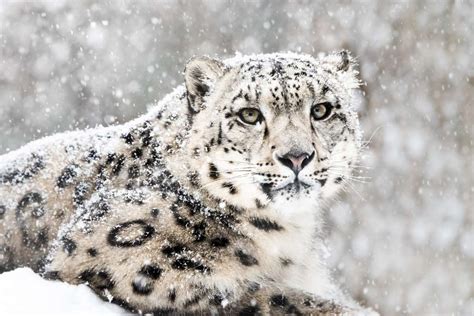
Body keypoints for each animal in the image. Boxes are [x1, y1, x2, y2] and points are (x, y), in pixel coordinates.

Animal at [0, 50, 370, 314]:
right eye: (249, 114)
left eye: (321, 110)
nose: (297, 156)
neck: (287, 235)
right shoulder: (117, 252)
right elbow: (260, 294)